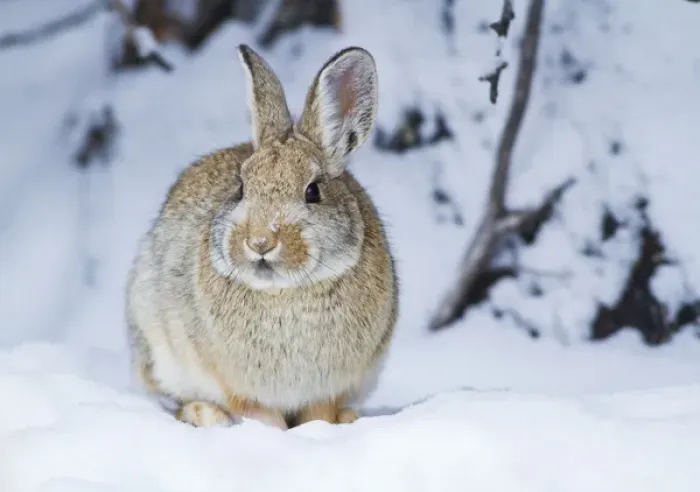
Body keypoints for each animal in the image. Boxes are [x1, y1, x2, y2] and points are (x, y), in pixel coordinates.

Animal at [125, 44, 399, 429]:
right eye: (241, 188)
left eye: (313, 191)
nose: (259, 243)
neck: (286, 291)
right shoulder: (242, 390)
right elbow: (261, 417)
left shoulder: (325, 391)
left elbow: (319, 415)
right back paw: (205, 415)